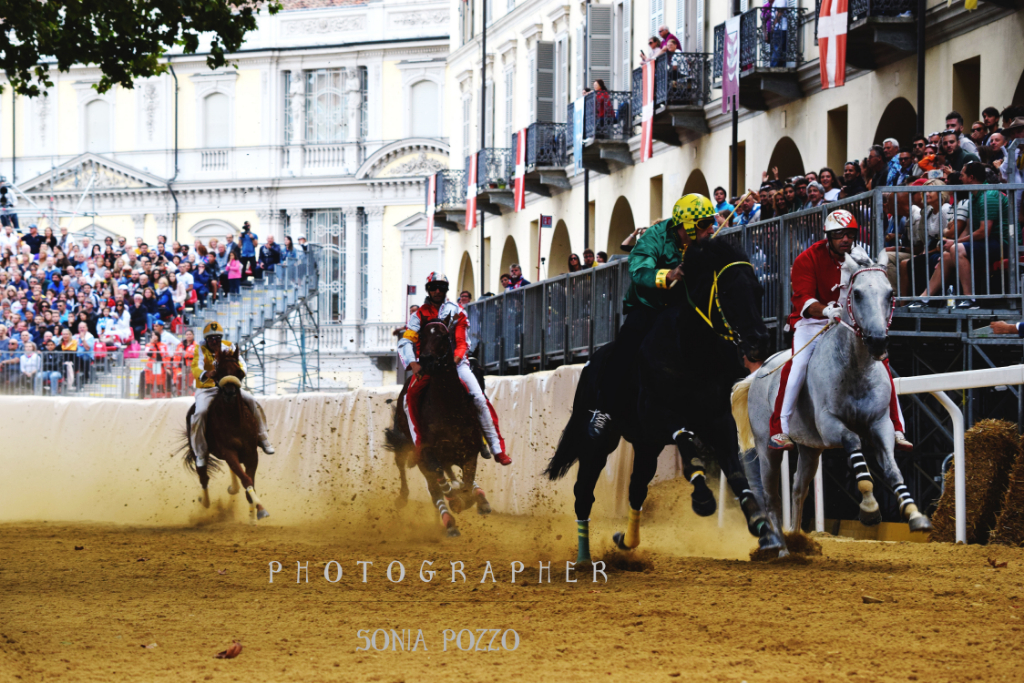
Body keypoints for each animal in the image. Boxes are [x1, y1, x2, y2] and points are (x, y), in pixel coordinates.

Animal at [180, 344, 270, 528]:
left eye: (239, 372)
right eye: (218, 372)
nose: (229, 393)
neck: (233, 419)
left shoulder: (251, 453)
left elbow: (249, 481)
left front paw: (254, 515)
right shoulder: (228, 451)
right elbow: (246, 479)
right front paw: (260, 509)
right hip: (200, 448)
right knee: (204, 476)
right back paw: (205, 501)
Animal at [548, 237, 770, 565]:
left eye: (758, 291)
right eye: (728, 292)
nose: (759, 341)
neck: (691, 350)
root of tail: (588, 366)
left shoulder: (718, 420)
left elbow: (733, 467)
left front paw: (758, 519)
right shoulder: (658, 413)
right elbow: (686, 442)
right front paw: (702, 498)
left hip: (646, 446)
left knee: (636, 489)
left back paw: (626, 540)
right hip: (601, 442)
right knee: (583, 493)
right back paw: (585, 559)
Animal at [729, 245, 937, 557]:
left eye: (890, 294)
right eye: (857, 294)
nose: (878, 341)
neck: (855, 368)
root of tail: (756, 375)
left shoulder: (880, 423)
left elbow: (891, 467)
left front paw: (914, 513)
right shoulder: (829, 424)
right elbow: (852, 441)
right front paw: (869, 505)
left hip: (810, 448)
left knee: (798, 488)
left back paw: (796, 539)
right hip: (767, 448)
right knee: (771, 495)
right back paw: (782, 548)